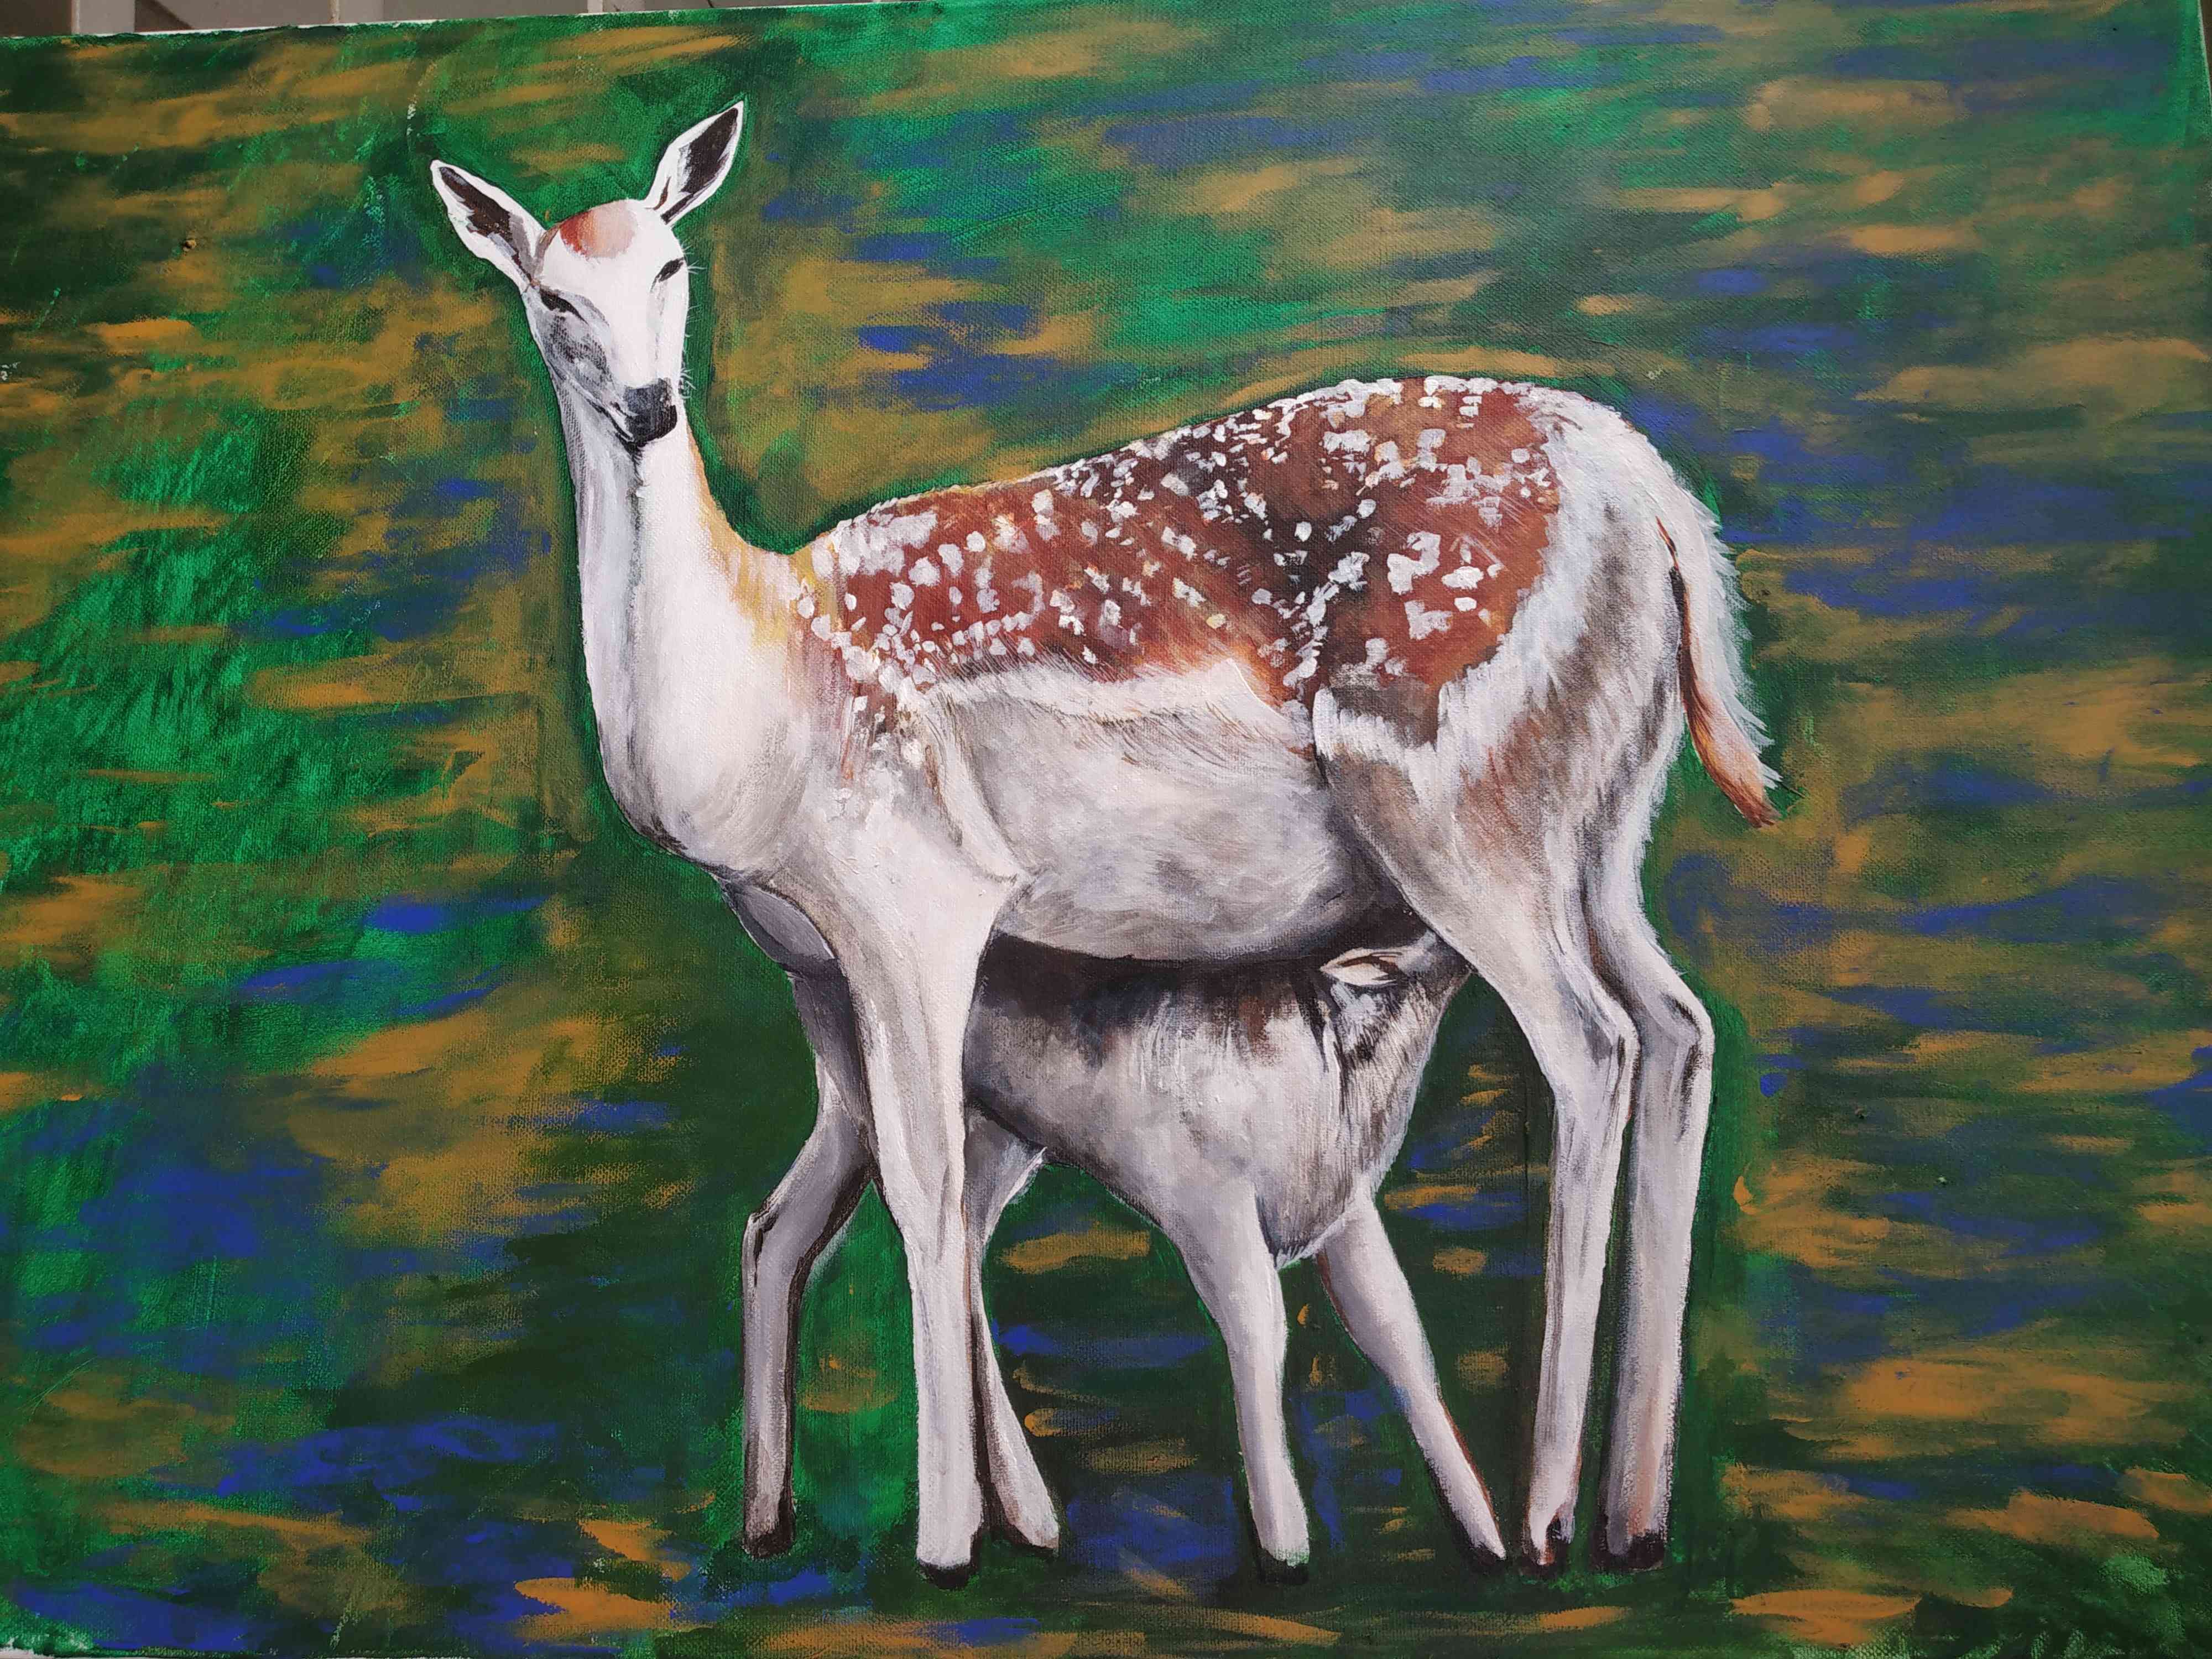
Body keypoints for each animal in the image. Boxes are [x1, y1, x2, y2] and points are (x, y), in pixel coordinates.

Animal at [428, 100, 1780, 1582]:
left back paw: (1542, 1517)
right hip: (1600, 826)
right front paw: (855, 1515)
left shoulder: (916, 897)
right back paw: (1633, 1512)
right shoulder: (814, 957)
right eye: (551, 294)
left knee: (1592, 1047)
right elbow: (858, 1203)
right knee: (1681, 1025)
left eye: (672, 263)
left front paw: (948, 1541)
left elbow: (923, 1194)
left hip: (1461, 812)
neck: (751, 704)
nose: (647, 406)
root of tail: (1656, 496)